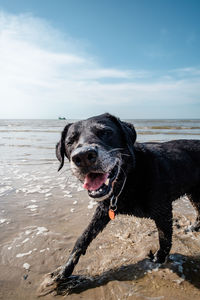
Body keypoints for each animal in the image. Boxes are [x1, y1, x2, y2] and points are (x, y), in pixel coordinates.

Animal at [55, 113, 200, 278]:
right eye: (70, 141)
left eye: (105, 132)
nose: (83, 156)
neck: (129, 177)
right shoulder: (104, 210)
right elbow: (83, 238)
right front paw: (65, 270)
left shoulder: (163, 211)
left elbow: (165, 239)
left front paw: (158, 259)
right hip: (193, 193)